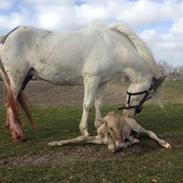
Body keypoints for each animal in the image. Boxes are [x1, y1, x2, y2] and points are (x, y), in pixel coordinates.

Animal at [0, 22, 165, 142]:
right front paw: (84, 130)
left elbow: (99, 104)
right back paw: (17, 133)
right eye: (147, 94)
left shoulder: (102, 82)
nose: (130, 116)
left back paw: (11, 128)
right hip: (16, 79)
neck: (111, 46)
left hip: (24, 79)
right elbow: (87, 104)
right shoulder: (91, 80)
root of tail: (8, 35)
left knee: (11, 103)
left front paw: (99, 124)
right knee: (11, 102)